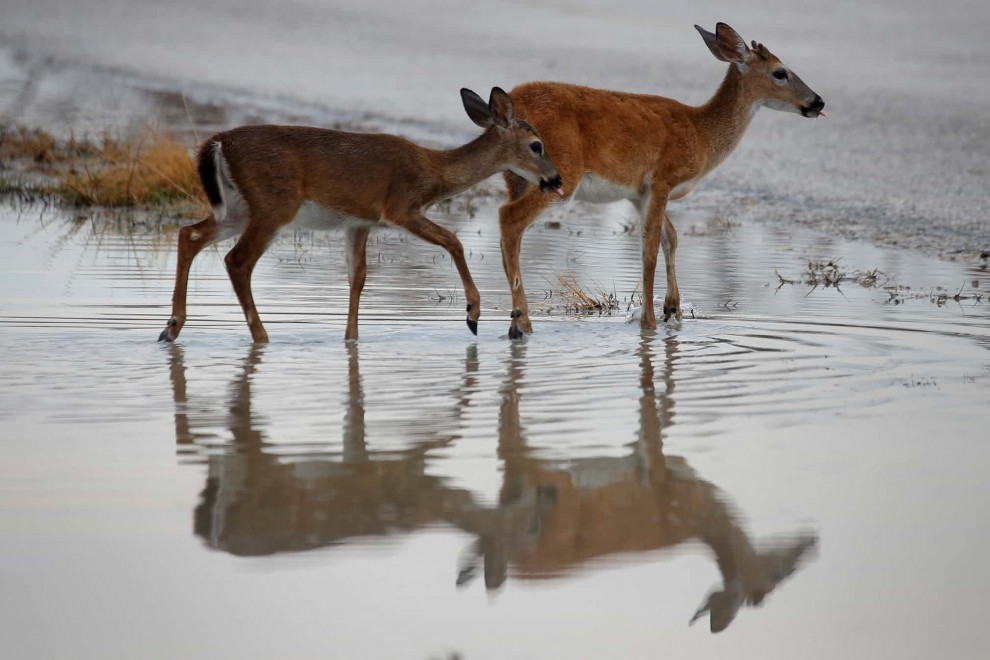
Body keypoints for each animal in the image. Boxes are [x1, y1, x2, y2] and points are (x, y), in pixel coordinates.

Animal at [163, 87, 564, 342]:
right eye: (536, 145)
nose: (556, 179)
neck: (432, 171)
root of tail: (217, 143)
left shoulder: (359, 222)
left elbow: (357, 277)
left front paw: (350, 339)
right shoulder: (400, 207)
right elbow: (454, 241)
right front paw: (472, 314)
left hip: (237, 208)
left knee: (188, 234)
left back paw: (171, 328)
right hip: (273, 206)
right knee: (237, 260)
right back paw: (260, 336)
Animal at [500, 22, 824, 338]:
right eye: (780, 72)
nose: (818, 101)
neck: (702, 135)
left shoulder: (637, 192)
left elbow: (671, 237)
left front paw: (673, 309)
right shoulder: (662, 180)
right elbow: (650, 248)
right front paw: (650, 324)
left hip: (515, 178)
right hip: (561, 173)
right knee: (510, 218)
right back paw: (521, 324)